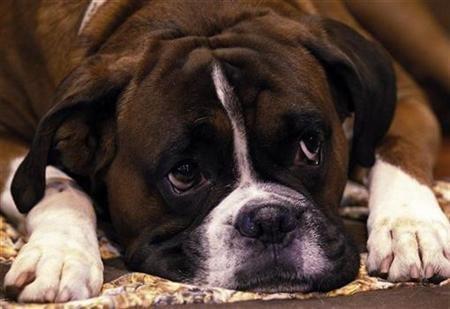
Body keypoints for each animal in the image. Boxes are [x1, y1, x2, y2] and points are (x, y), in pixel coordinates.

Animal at [0, 0, 448, 302]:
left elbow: (397, 150)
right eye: (184, 173)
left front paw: (411, 229)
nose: (269, 220)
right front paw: (60, 253)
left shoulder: (405, 99)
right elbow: (56, 184)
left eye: (309, 146)